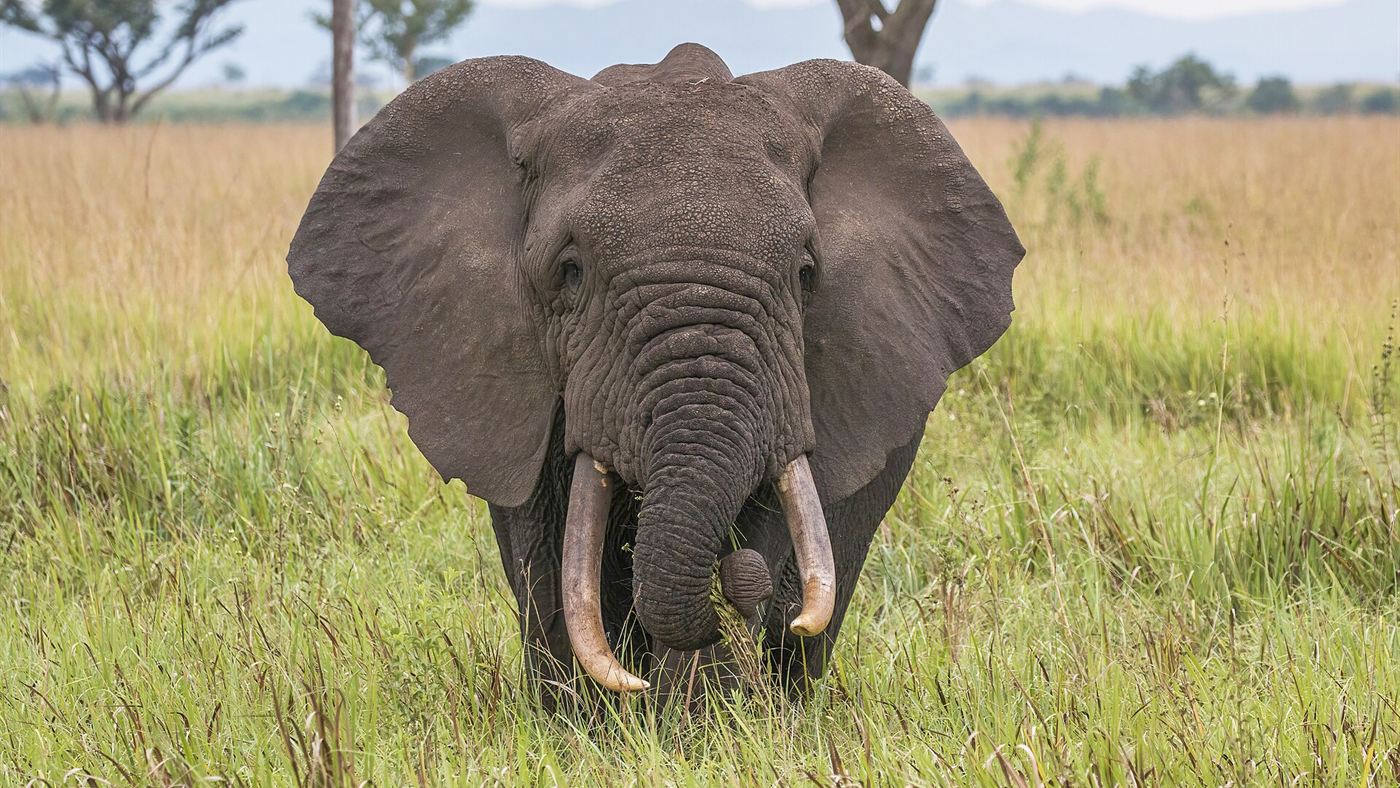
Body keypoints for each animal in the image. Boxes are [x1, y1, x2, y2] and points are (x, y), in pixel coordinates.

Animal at [288, 43, 1023, 705]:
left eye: (807, 273)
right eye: (570, 271)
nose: (735, 581)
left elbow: (771, 513)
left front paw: (697, 724)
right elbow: (546, 546)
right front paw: (586, 725)